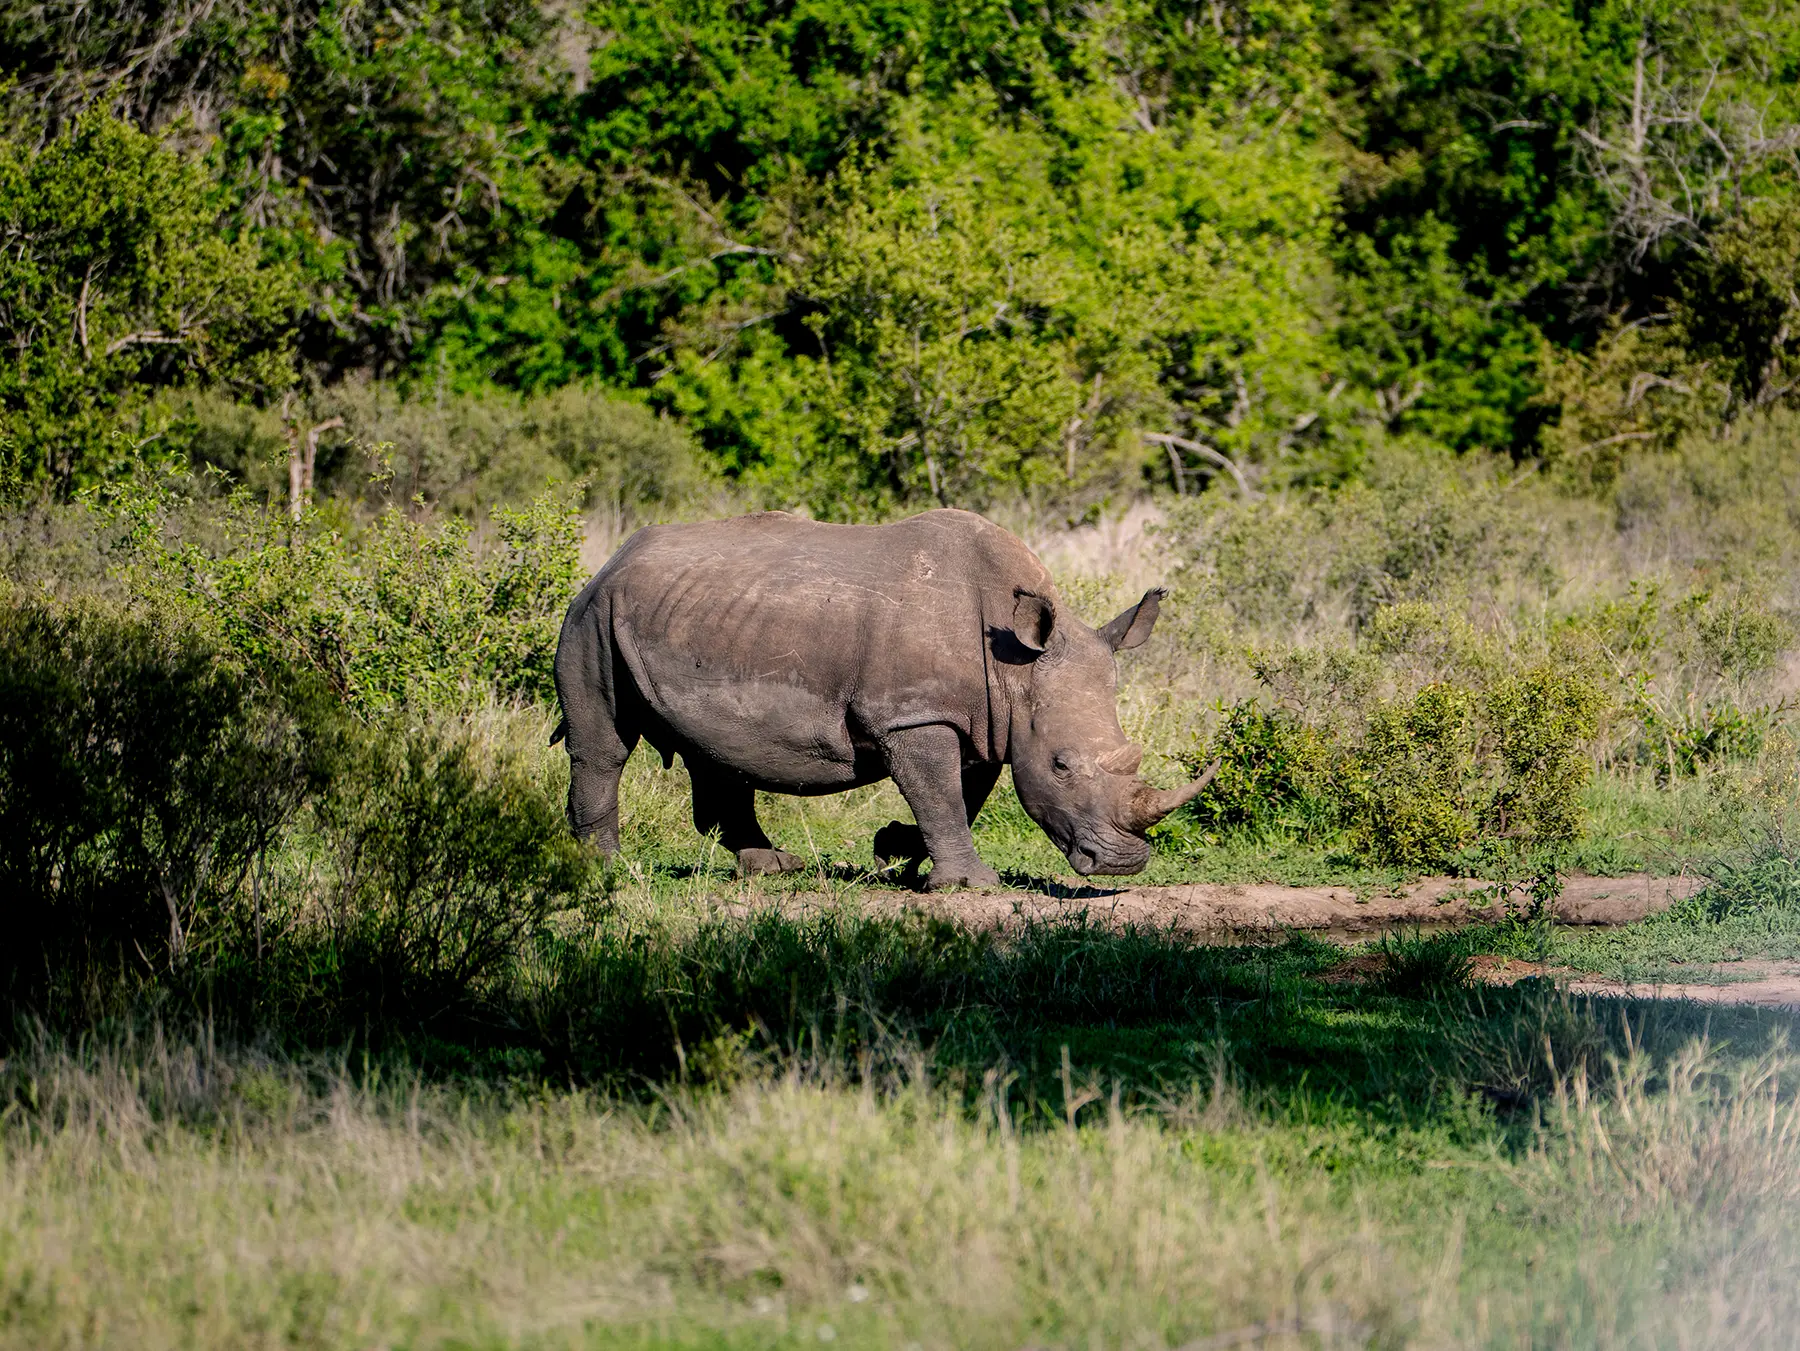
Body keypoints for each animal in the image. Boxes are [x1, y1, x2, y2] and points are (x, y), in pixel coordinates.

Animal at [551, 508, 1215, 888]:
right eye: (1061, 766)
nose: (1123, 864)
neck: (1016, 670)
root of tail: (609, 559)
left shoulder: (981, 718)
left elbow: (960, 795)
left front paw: (896, 851)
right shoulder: (913, 715)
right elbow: (941, 793)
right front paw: (970, 886)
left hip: (691, 620)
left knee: (716, 748)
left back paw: (775, 868)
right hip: (591, 618)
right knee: (604, 745)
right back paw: (605, 870)